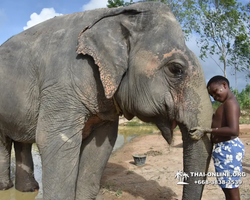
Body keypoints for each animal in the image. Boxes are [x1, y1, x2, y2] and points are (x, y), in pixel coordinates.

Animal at [0, 1, 213, 200]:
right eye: (176, 69)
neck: (117, 13)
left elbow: (101, 146)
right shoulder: (60, 85)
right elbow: (54, 141)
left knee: (21, 141)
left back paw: (28, 189)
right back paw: (6, 188)